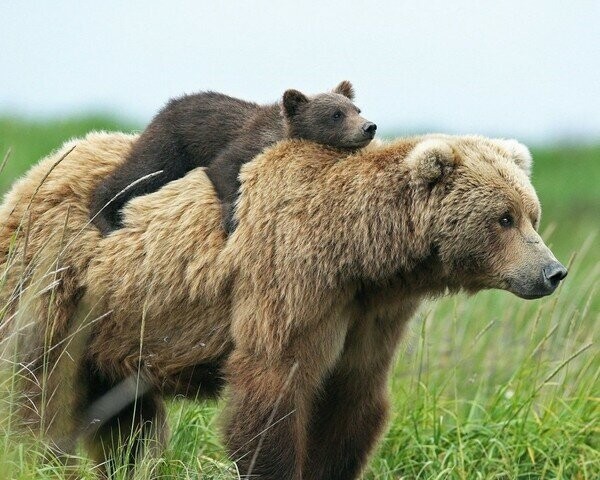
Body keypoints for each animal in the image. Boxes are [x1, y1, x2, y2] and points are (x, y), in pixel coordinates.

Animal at [0, 132, 564, 480]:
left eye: (531, 213)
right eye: (504, 217)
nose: (552, 272)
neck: (359, 255)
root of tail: (30, 177)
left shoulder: (369, 315)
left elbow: (352, 401)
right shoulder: (290, 282)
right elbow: (273, 391)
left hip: (118, 329)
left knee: (126, 422)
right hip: (56, 286)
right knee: (39, 390)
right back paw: (40, 459)